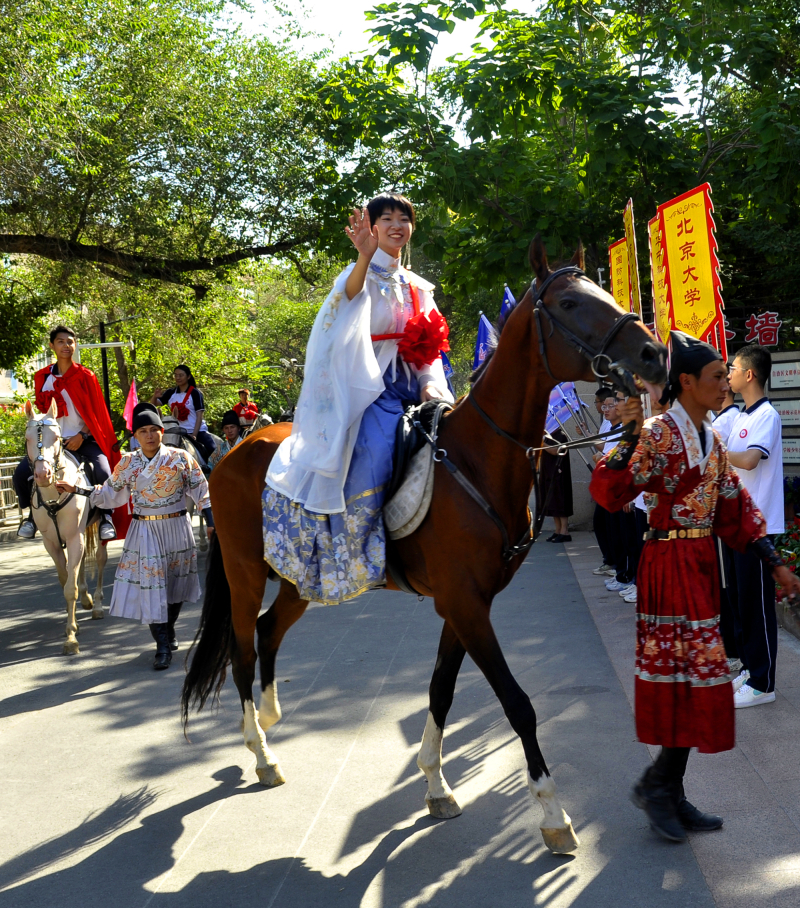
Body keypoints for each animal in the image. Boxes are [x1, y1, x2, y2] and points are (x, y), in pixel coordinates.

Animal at [24, 400, 108, 652]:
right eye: (27, 439)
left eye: (57, 438)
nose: (43, 475)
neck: (53, 495)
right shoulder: (51, 542)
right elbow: (65, 580)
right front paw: (73, 625)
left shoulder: (74, 538)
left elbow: (70, 587)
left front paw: (71, 637)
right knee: (78, 567)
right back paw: (87, 599)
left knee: (100, 559)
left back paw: (97, 605)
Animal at [183, 234, 668, 852]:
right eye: (570, 305)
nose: (653, 354)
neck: (481, 460)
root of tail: (233, 452)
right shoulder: (465, 604)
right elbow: (518, 704)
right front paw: (553, 813)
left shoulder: (465, 605)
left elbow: (441, 691)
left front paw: (437, 786)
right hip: (245, 571)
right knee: (243, 649)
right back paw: (262, 753)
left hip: (300, 576)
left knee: (268, 632)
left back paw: (268, 721)